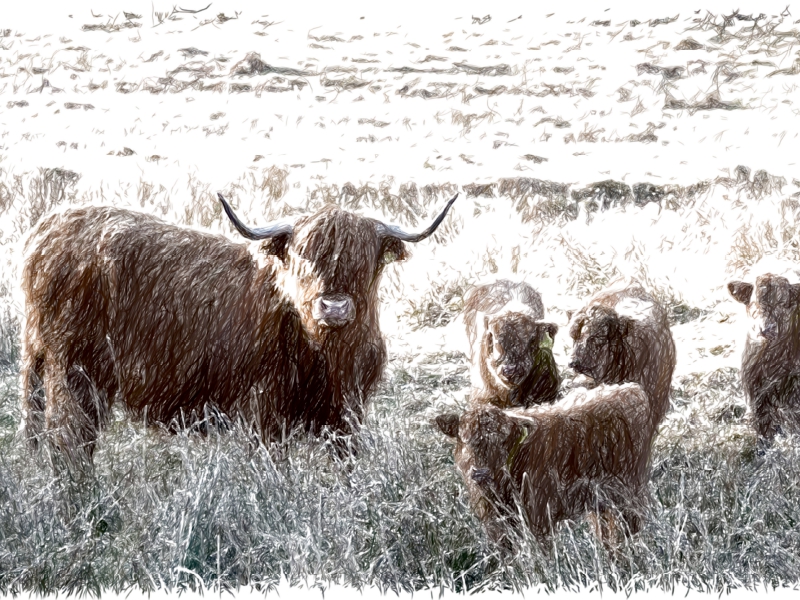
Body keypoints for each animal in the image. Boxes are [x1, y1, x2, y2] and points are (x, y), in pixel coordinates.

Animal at [21, 195, 460, 462]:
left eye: (363, 260)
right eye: (303, 260)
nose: (333, 307)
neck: (327, 354)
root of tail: (45, 230)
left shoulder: (346, 416)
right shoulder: (264, 411)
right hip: (73, 371)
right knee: (69, 443)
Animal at [434, 384, 652, 544]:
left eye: (503, 441)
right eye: (464, 439)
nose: (481, 473)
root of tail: (630, 388)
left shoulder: (539, 521)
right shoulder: (496, 528)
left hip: (631, 491)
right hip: (601, 501)